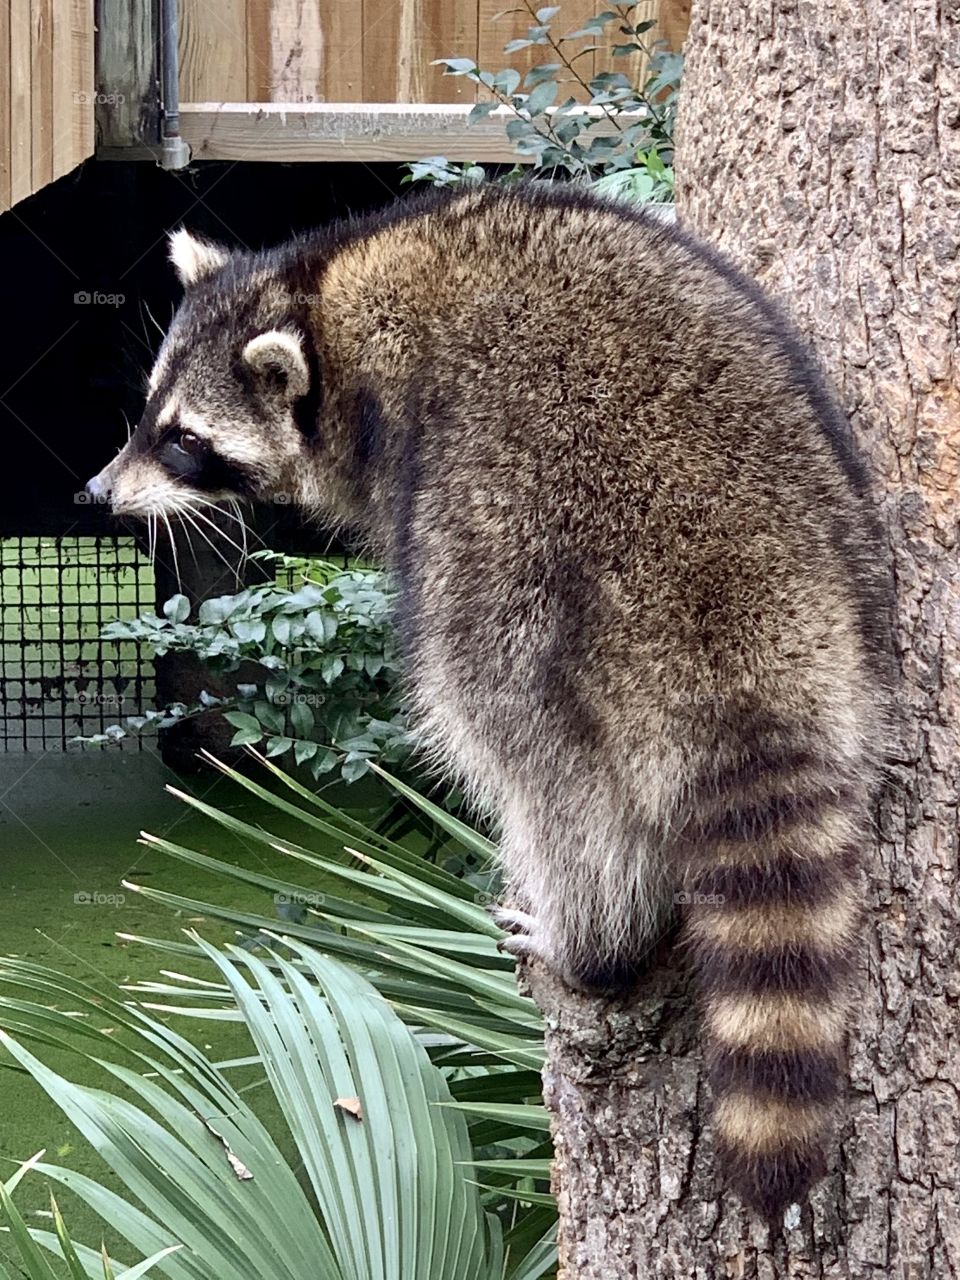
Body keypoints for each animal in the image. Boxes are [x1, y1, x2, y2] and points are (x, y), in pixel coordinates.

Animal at [87, 183, 893, 1219]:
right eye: (149, 413)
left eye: (185, 441)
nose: (97, 491)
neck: (324, 289)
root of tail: (735, 637)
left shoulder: (411, 436)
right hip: (838, 528)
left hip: (508, 539)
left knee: (514, 742)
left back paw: (588, 936)